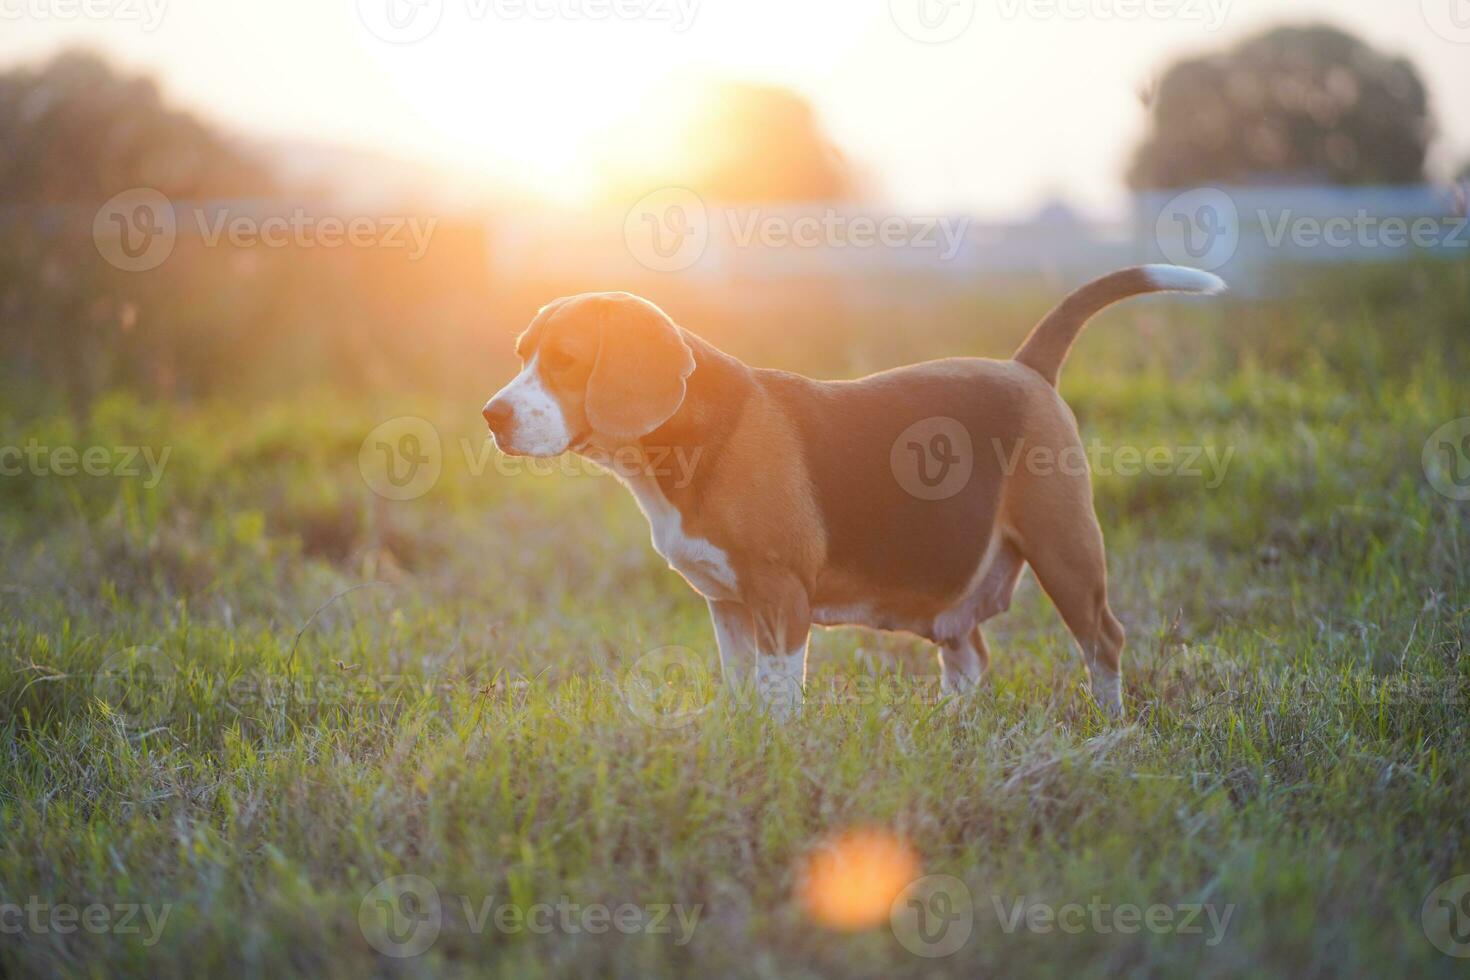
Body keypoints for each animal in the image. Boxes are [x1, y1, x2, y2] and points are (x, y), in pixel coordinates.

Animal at [488, 264, 1223, 717]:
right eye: (522, 353)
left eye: (567, 360)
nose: (492, 416)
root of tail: (1026, 368)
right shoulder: (726, 605)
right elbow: (741, 688)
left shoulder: (780, 597)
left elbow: (780, 694)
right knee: (972, 655)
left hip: (1065, 549)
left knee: (1104, 641)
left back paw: (1110, 725)